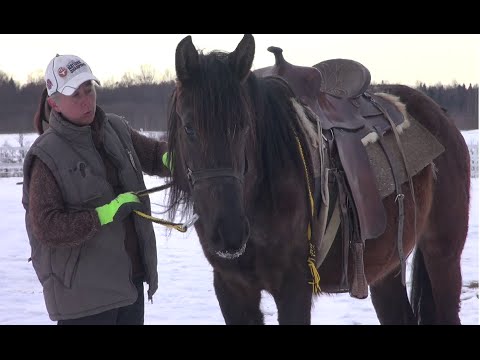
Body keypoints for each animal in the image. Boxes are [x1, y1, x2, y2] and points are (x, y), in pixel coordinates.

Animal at [165, 34, 468, 326]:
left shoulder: (294, 287)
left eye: (244, 125)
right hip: (386, 266)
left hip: (443, 253)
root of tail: (440, 115)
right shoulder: (232, 288)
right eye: (189, 127)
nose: (229, 233)